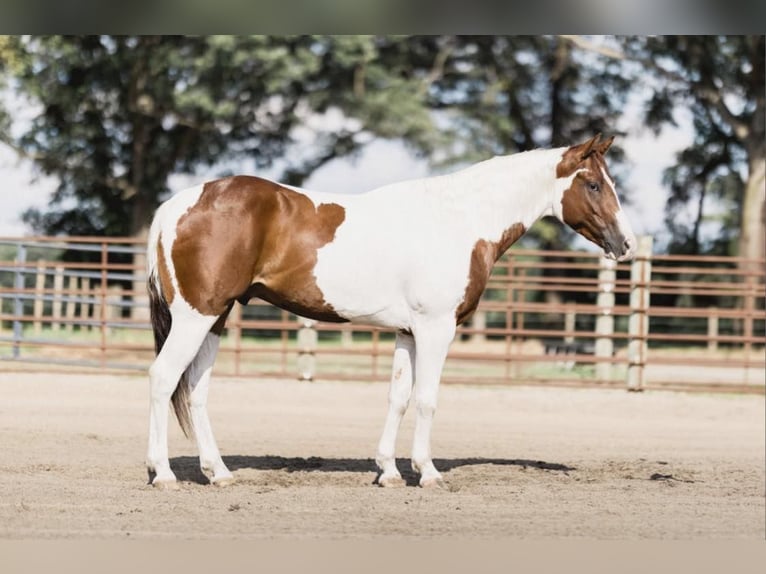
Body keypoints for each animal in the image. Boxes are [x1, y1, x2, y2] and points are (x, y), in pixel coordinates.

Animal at [144, 135, 636, 490]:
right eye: (594, 184)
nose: (626, 243)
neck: (459, 219)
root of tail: (176, 206)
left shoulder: (408, 332)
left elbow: (398, 396)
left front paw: (390, 472)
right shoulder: (436, 329)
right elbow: (427, 399)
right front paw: (429, 473)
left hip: (216, 318)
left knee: (197, 390)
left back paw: (219, 473)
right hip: (196, 317)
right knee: (164, 378)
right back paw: (163, 474)